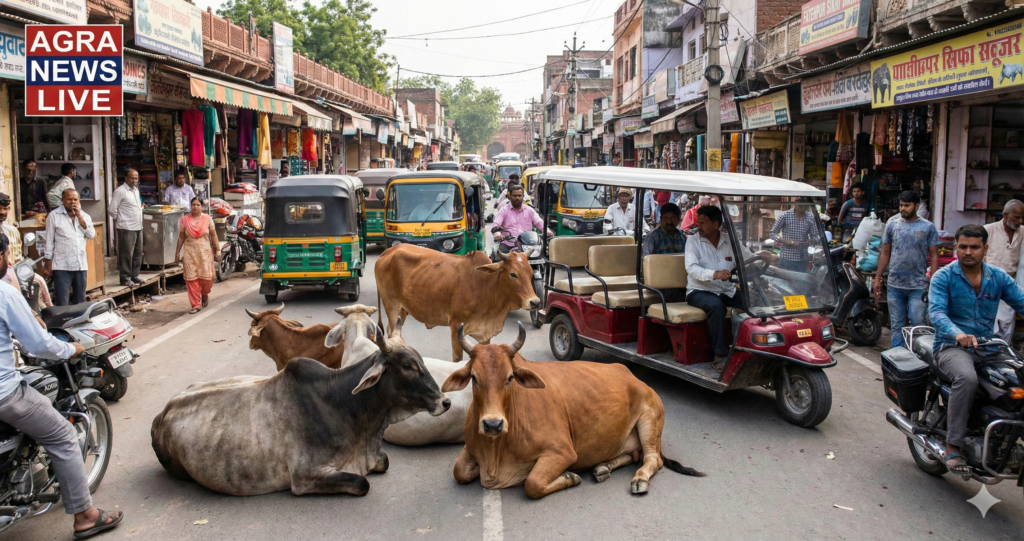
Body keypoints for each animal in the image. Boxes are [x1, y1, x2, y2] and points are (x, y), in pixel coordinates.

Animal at [150, 322, 451, 496]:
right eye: (408, 366)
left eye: (420, 360)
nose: (444, 401)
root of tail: (163, 413)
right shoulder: (305, 477)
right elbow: (362, 483)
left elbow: (384, 461)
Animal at [375, 243, 540, 362]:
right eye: (513, 274)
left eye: (531, 272)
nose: (535, 302)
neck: (485, 285)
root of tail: (388, 251)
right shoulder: (455, 326)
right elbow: (457, 358)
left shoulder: (485, 333)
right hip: (392, 306)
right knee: (391, 331)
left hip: (403, 310)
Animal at [443, 323, 705, 499]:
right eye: (474, 378)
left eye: (510, 378)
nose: (492, 425)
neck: (495, 450)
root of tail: (633, 377)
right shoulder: (470, 448)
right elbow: (458, 471)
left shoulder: (563, 453)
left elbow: (532, 484)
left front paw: (570, 476)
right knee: (633, 455)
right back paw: (602, 468)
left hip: (650, 421)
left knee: (652, 459)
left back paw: (639, 479)